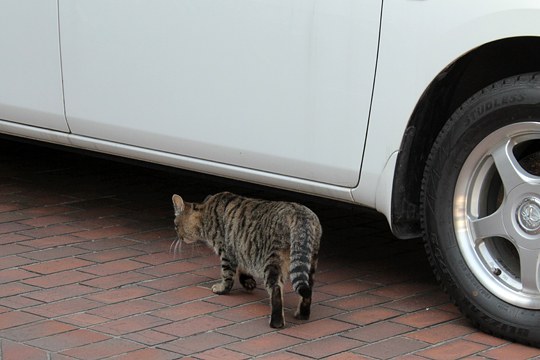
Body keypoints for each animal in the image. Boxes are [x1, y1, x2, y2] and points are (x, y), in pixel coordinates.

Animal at [171, 193, 320, 328]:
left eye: (175, 226)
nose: (178, 236)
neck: (206, 211)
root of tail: (299, 214)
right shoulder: (242, 248)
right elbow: (243, 266)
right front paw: (248, 281)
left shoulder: (226, 252)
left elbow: (227, 276)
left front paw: (222, 289)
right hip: (309, 261)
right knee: (307, 290)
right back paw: (302, 314)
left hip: (272, 261)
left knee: (276, 290)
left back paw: (276, 323)